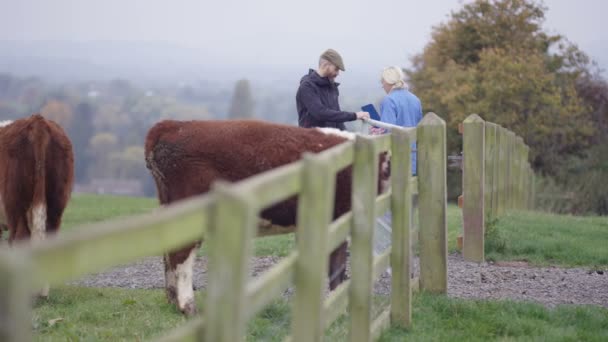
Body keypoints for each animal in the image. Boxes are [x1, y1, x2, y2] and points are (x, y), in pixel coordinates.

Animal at [145, 119, 388, 316]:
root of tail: (171, 124)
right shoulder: (338, 218)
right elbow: (336, 267)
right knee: (181, 254)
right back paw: (188, 306)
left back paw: (172, 299)